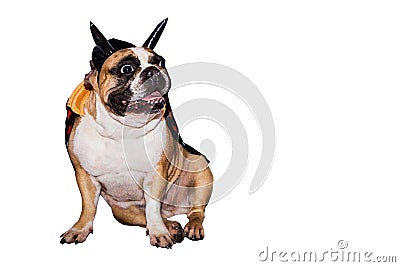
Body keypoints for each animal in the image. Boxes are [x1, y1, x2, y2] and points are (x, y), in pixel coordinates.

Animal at [60, 18, 212, 249]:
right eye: (127, 68)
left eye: (161, 62)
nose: (153, 70)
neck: (123, 129)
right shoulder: (85, 176)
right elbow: (88, 207)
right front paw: (79, 229)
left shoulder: (155, 177)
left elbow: (152, 208)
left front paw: (159, 233)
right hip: (122, 212)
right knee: (146, 217)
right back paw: (172, 226)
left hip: (200, 172)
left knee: (195, 211)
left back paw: (190, 227)